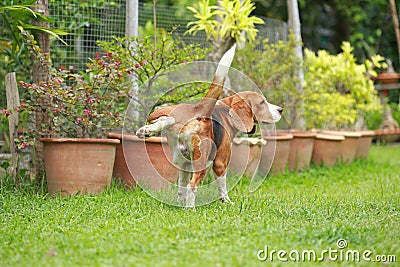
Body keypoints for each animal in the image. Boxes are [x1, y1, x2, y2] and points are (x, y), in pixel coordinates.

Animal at [138, 47, 284, 208]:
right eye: (262, 103)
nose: (280, 110)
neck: (226, 111)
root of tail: (201, 113)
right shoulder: (220, 162)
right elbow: (222, 186)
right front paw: (227, 202)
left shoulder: (185, 164)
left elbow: (181, 186)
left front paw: (181, 201)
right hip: (201, 161)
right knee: (192, 185)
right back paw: (190, 208)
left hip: (175, 136)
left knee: (166, 119)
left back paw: (147, 130)